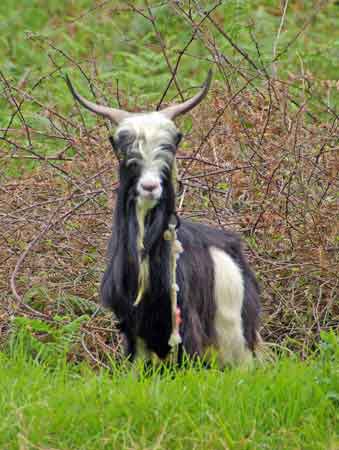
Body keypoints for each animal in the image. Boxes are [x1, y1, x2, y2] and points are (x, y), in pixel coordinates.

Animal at [67, 70, 262, 366]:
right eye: (124, 148)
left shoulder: (185, 324)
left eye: (170, 144)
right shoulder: (132, 328)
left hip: (233, 330)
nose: (150, 186)